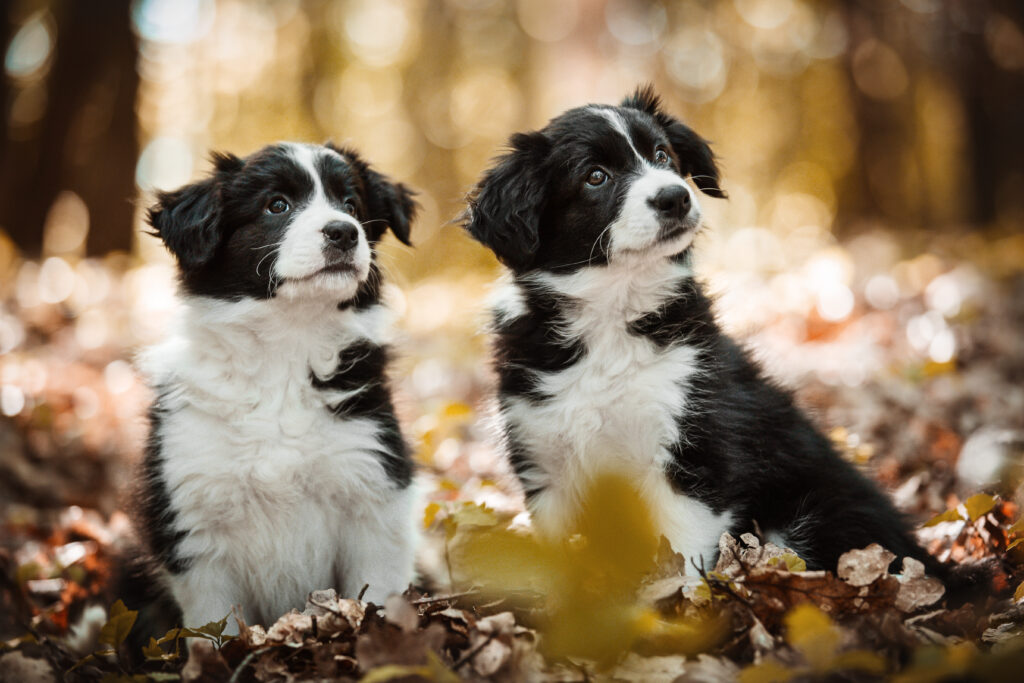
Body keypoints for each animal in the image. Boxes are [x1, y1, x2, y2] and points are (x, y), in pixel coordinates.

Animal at [138, 141, 417, 626]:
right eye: (277, 205)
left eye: (351, 205)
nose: (344, 233)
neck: (286, 344)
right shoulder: (194, 518)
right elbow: (216, 626)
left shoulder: (373, 491)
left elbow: (376, 592)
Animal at [464, 87, 937, 573]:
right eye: (595, 176)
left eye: (662, 155)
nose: (675, 198)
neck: (612, 312)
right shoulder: (544, 459)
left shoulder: (694, 452)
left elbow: (684, 556)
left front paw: (685, 597)